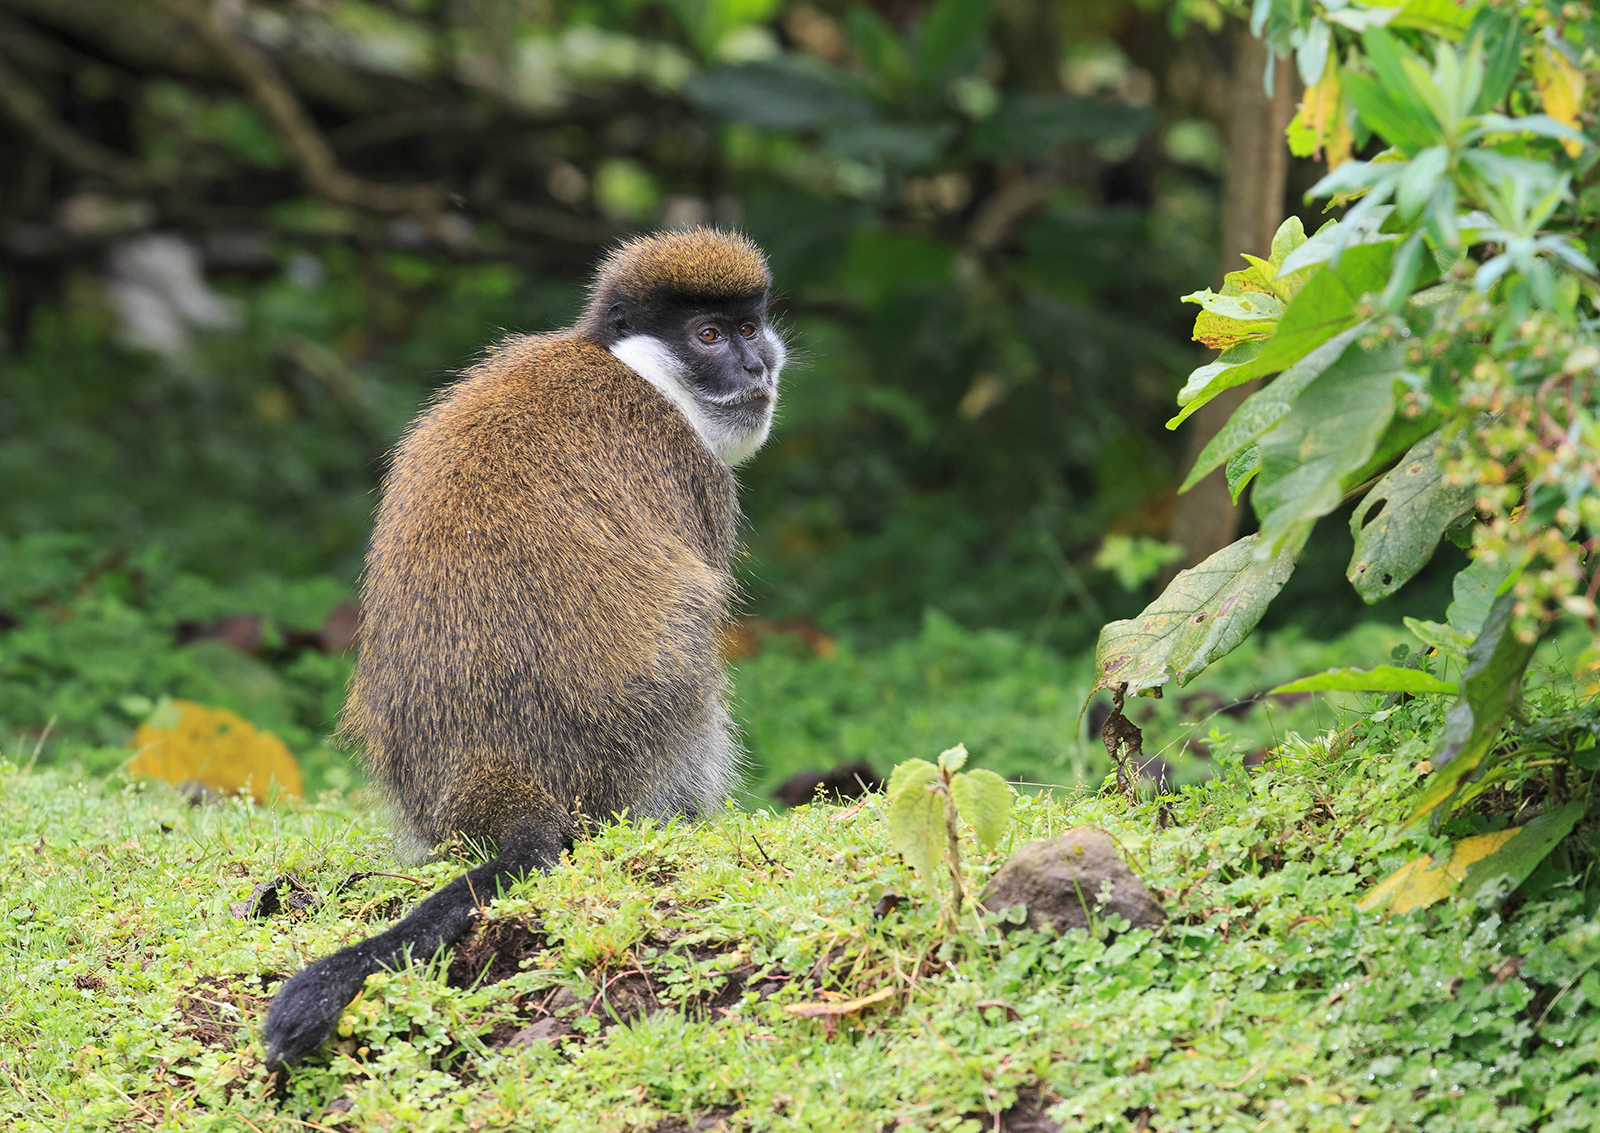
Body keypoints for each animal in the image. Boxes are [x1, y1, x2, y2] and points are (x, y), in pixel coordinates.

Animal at [261, 228, 785, 1067]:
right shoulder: (694, 471)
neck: (634, 368)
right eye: (708, 336)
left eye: (747, 327)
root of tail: (496, 776)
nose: (757, 367)